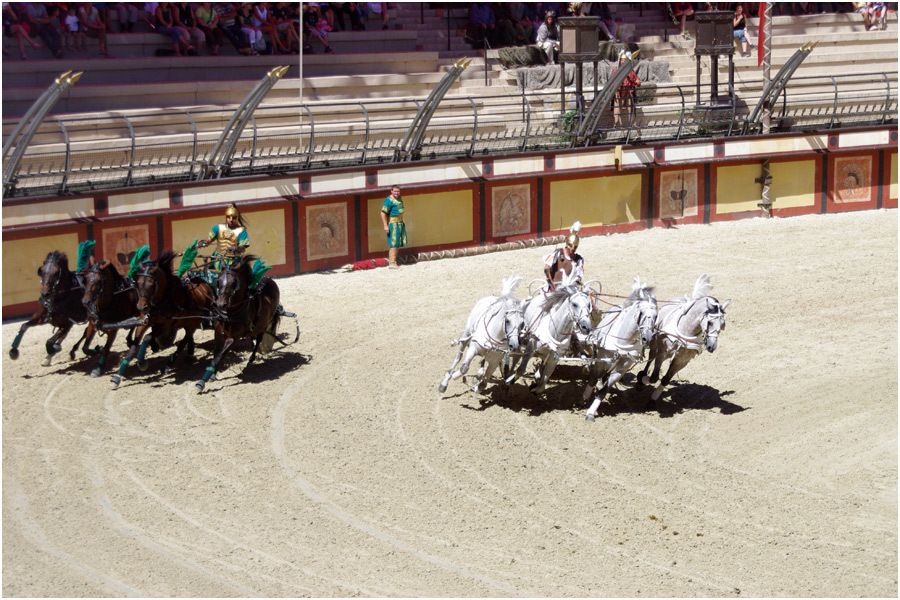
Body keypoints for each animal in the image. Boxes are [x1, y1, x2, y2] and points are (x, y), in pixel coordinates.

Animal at [111, 250, 215, 386]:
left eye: (151, 284)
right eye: (137, 283)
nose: (141, 307)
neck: (164, 300)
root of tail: (205, 285)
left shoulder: (166, 326)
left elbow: (147, 337)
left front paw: (142, 362)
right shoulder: (145, 322)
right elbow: (134, 345)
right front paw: (118, 376)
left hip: (194, 320)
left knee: (184, 340)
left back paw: (169, 364)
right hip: (188, 321)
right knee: (188, 337)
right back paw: (188, 354)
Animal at [194, 254, 280, 392]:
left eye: (233, 283)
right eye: (218, 281)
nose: (220, 304)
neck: (231, 312)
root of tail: (271, 281)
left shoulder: (234, 337)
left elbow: (221, 354)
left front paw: (202, 381)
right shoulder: (218, 333)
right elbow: (216, 354)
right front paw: (212, 374)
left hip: (264, 324)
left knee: (259, 339)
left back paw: (251, 359)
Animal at [580, 278, 656, 420]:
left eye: (656, 316)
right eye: (641, 313)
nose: (647, 338)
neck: (622, 342)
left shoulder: (622, 367)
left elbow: (604, 389)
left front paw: (591, 412)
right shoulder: (601, 360)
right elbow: (593, 378)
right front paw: (585, 398)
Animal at [636, 274, 728, 404]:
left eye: (723, 325)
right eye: (710, 322)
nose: (712, 346)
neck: (685, 331)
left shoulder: (683, 360)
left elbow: (665, 379)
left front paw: (653, 400)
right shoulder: (663, 352)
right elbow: (654, 377)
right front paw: (642, 380)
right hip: (654, 344)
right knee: (651, 357)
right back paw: (641, 378)